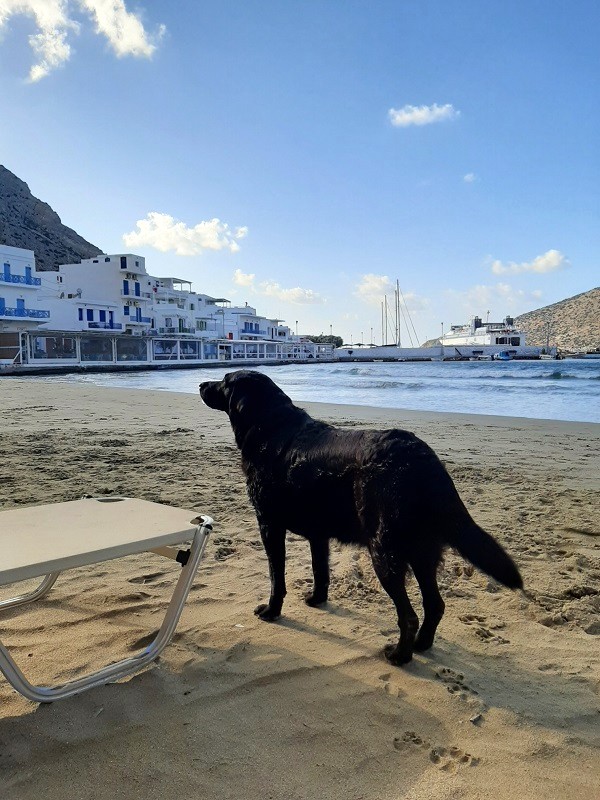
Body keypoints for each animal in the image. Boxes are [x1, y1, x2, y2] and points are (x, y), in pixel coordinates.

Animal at [200, 372, 520, 664]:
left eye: (225, 381)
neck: (271, 428)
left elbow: (276, 576)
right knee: (435, 605)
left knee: (409, 615)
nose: (202, 384)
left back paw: (400, 656)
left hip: (385, 552)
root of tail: (423, 459)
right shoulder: (318, 535)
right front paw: (317, 600)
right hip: (421, 552)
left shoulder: (269, 524)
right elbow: (320, 571)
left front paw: (272, 611)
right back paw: (421, 645)